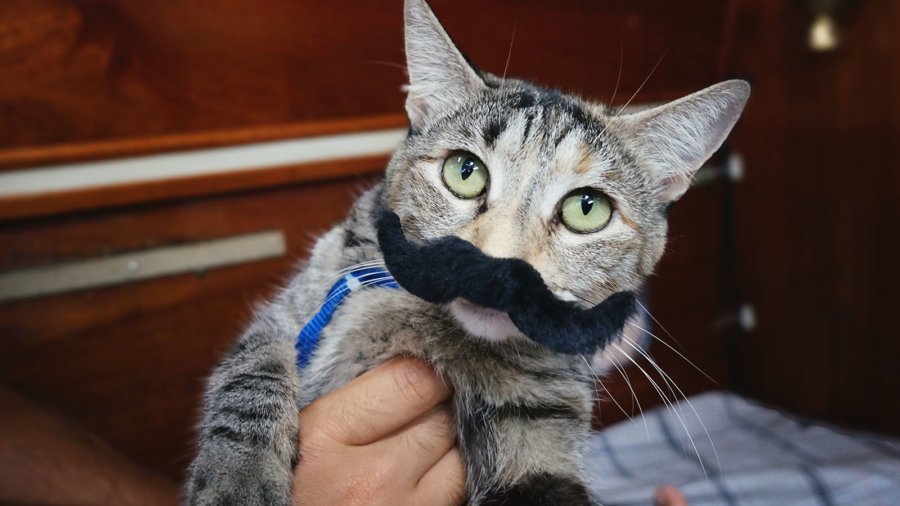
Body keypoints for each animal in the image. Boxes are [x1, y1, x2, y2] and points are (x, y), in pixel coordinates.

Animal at [185, 0, 752, 502]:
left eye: (586, 208)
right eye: (465, 171)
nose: (498, 268)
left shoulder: (539, 419)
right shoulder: (299, 306)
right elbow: (253, 368)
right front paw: (238, 475)